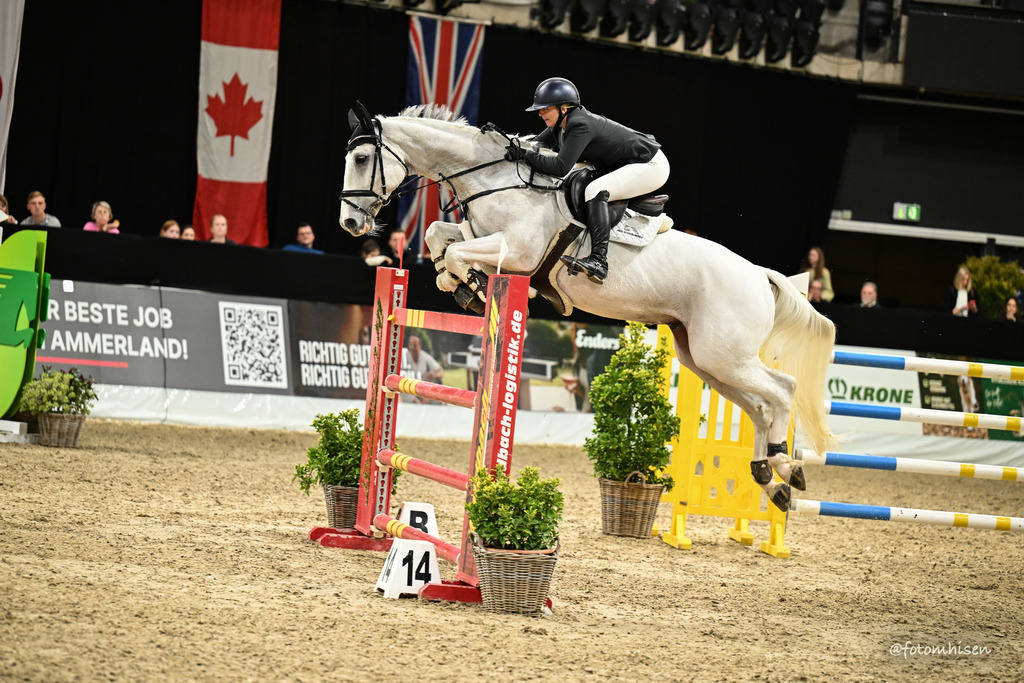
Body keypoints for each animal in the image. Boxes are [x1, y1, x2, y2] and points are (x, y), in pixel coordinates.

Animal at [338, 103, 836, 512]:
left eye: (361, 160)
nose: (349, 223)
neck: (492, 180)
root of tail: (759, 274)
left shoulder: (517, 254)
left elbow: (457, 251)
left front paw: (472, 285)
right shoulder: (484, 238)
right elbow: (439, 236)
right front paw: (456, 281)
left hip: (724, 354)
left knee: (783, 390)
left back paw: (786, 466)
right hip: (704, 358)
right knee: (759, 404)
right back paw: (771, 479)